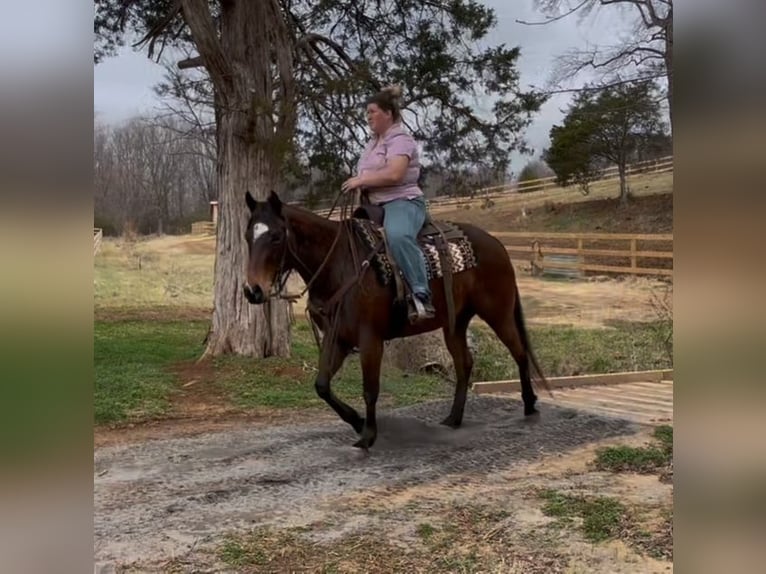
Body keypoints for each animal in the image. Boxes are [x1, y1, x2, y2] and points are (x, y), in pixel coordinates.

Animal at [243, 191, 548, 449]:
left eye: (276, 237)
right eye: (248, 236)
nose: (252, 291)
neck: (339, 266)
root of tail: (497, 243)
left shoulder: (370, 339)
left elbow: (370, 389)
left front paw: (368, 435)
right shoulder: (337, 338)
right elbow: (322, 386)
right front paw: (357, 422)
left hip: (498, 313)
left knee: (519, 352)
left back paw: (529, 405)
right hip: (455, 323)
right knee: (464, 364)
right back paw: (453, 419)